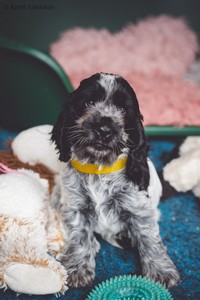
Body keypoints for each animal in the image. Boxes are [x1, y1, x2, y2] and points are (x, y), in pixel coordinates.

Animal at [51, 72, 180, 288]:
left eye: (122, 109)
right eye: (88, 102)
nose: (104, 129)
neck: (99, 167)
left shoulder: (139, 209)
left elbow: (150, 238)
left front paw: (161, 271)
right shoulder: (75, 207)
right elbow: (79, 235)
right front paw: (77, 268)